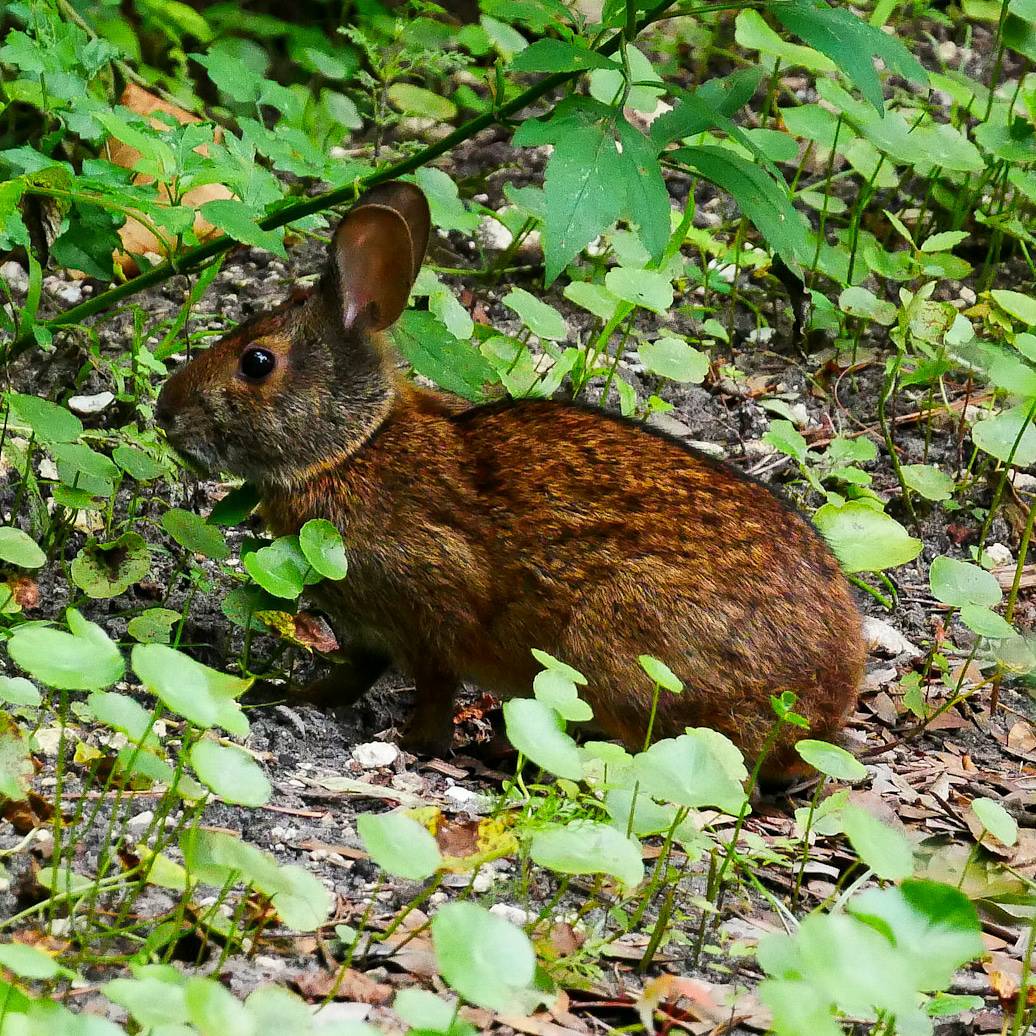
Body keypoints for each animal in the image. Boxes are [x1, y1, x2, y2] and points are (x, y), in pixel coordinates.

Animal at [156, 181, 865, 781]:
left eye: (256, 363)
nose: (165, 413)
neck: (353, 447)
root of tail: (823, 704)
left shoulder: (432, 606)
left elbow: (434, 684)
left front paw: (414, 744)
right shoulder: (365, 631)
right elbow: (347, 678)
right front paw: (288, 693)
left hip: (618, 639)